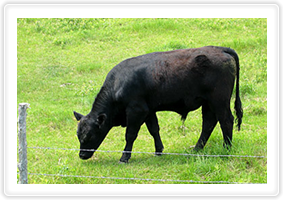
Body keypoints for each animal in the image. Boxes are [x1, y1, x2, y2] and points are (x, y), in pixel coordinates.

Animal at [74, 45, 244, 162]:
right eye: (78, 135)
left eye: (89, 135)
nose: (81, 155)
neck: (118, 85)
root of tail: (220, 49)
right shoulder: (149, 110)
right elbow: (154, 129)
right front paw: (158, 150)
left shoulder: (136, 111)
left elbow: (130, 134)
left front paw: (124, 157)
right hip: (208, 103)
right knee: (208, 123)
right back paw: (196, 148)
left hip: (219, 101)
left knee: (226, 120)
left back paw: (226, 148)